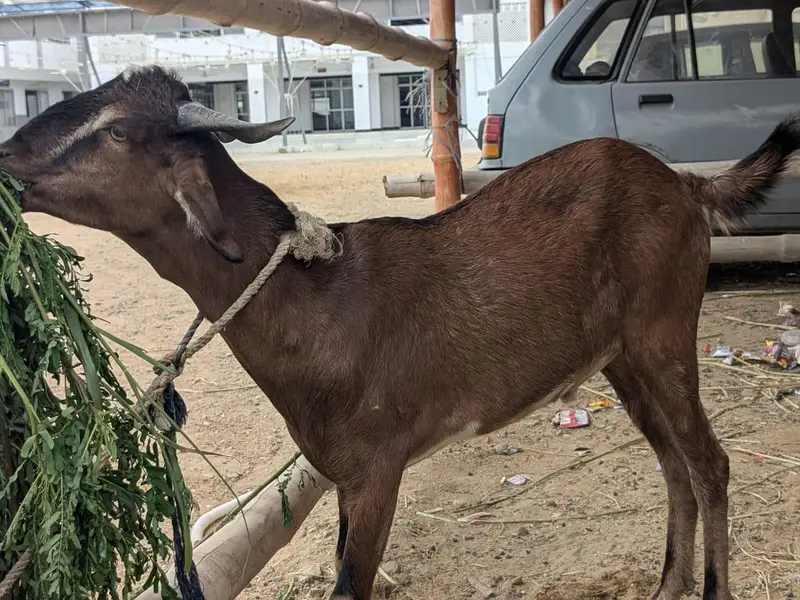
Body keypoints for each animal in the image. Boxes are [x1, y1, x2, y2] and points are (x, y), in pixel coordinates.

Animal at [1, 66, 798, 600]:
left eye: (112, 131)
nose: (7, 162)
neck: (316, 300)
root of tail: (686, 186)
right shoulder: (344, 478)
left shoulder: (377, 470)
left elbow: (351, 585)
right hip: (621, 358)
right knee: (673, 465)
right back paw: (666, 587)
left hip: (664, 332)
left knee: (709, 463)